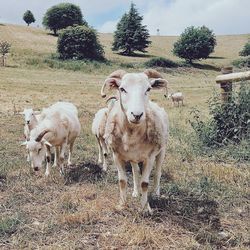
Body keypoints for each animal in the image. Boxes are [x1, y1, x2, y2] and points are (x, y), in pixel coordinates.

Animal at [100, 69, 169, 214]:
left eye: (148, 89)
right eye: (122, 89)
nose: (137, 115)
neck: (131, 135)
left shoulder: (149, 158)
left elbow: (145, 183)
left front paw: (144, 208)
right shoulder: (117, 156)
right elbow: (122, 181)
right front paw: (122, 204)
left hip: (162, 150)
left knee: (158, 172)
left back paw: (156, 193)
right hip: (133, 158)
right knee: (135, 172)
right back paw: (136, 192)